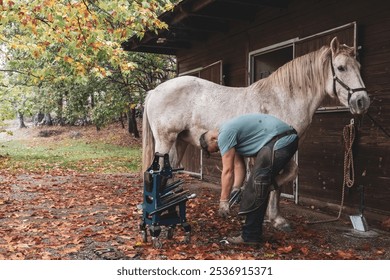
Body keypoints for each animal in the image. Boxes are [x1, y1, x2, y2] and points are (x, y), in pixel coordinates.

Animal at [142, 36, 370, 230]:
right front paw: (268, 213)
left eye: (358, 67)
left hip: (179, 141)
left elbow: (287, 175)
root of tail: (154, 91)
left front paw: (275, 218)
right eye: (340, 68)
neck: (282, 100)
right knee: (158, 173)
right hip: (165, 140)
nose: (362, 101)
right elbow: (279, 177)